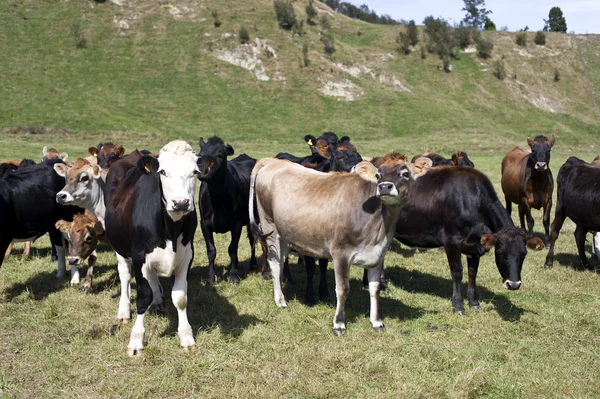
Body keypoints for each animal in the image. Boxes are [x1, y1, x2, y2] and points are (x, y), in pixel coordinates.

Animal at [102, 141, 197, 356]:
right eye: (162, 172)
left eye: (195, 172)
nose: (180, 202)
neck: (170, 230)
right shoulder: (139, 256)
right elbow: (143, 298)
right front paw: (136, 340)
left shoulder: (187, 255)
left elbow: (180, 298)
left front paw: (186, 336)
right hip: (119, 247)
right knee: (125, 276)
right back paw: (123, 310)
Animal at [196, 136, 254, 286]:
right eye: (199, 155)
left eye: (220, 155)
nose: (202, 172)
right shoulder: (204, 224)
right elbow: (211, 251)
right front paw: (211, 278)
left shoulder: (237, 224)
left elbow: (232, 249)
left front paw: (233, 277)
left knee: (252, 240)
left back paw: (253, 264)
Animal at [250, 155, 418, 336]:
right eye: (378, 175)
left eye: (405, 174)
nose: (384, 187)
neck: (378, 228)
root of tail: (273, 161)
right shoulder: (341, 253)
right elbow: (343, 289)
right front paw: (339, 324)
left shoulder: (377, 255)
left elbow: (375, 289)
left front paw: (376, 321)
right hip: (270, 227)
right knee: (275, 265)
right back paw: (280, 301)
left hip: (286, 235)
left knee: (280, 263)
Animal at [394, 167, 544, 314]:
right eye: (500, 253)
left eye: (524, 254)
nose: (513, 284)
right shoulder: (452, 241)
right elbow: (457, 273)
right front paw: (458, 306)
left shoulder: (475, 245)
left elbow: (473, 273)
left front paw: (474, 302)